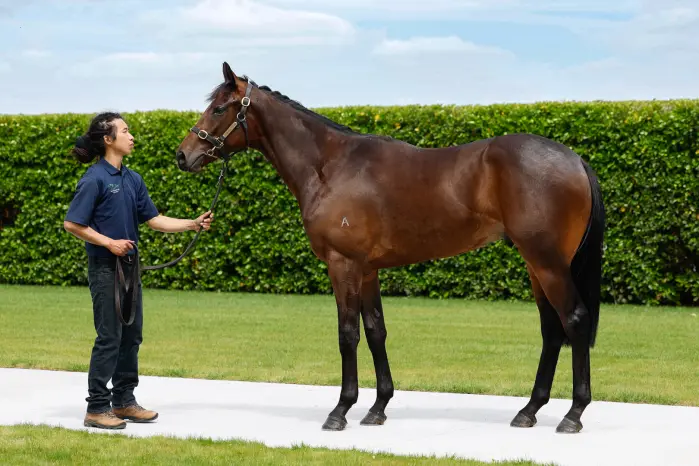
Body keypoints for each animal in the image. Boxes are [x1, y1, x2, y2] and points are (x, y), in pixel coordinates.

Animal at [175, 62, 605, 434]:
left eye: (218, 108)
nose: (183, 155)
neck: (330, 167)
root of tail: (575, 160)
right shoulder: (367, 269)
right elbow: (375, 330)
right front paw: (377, 407)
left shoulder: (343, 265)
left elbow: (348, 333)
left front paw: (340, 410)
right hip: (536, 265)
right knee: (552, 330)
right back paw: (529, 410)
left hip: (547, 263)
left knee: (574, 320)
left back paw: (573, 414)